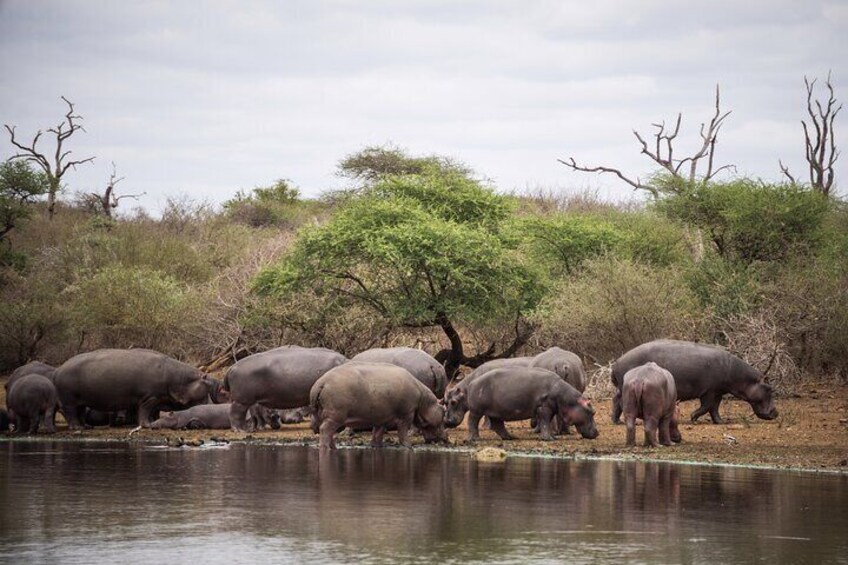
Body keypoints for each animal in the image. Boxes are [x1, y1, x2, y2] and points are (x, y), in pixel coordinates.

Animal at [54, 346, 215, 430]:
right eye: (206, 383)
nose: (212, 405)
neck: (179, 379)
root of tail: (59, 369)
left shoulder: (157, 399)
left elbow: (151, 412)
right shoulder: (150, 398)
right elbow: (144, 412)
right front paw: (147, 425)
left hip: (81, 400)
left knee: (79, 412)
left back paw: (86, 427)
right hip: (69, 400)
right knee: (71, 413)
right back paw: (78, 428)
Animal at [308, 362, 448, 450]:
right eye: (443, 410)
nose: (446, 438)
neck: (424, 400)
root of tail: (321, 383)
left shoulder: (382, 417)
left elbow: (378, 433)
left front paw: (376, 446)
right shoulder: (406, 414)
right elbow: (403, 432)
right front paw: (409, 446)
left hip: (323, 415)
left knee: (327, 432)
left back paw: (334, 448)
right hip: (335, 416)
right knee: (325, 430)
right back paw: (327, 448)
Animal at [440, 366, 600, 440]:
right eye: (592, 412)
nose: (597, 432)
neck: (567, 399)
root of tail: (473, 383)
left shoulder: (549, 408)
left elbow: (546, 423)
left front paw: (552, 437)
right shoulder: (544, 407)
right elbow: (545, 422)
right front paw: (549, 439)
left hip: (496, 411)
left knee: (498, 425)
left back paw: (510, 437)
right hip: (477, 410)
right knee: (472, 421)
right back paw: (474, 440)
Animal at [612, 340, 780, 424]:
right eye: (769, 388)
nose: (776, 412)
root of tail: (616, 362)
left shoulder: (718, 391)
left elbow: (715, 409)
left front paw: (721, 422)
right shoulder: (709, 391)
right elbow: (706, 406)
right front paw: (693, 418)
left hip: (621, 387)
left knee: (615, 400)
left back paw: (616, 421)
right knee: (621, 401)